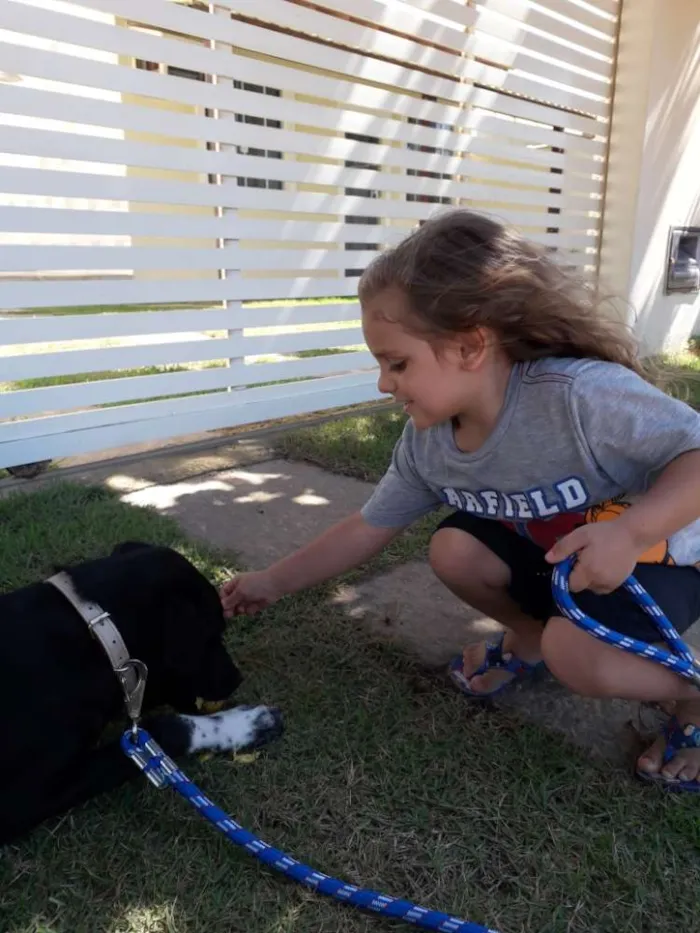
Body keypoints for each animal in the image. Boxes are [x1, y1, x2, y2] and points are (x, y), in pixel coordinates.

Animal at [3, 540, 282, 844]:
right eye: (212, 633)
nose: (236, 678)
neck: (97, 638)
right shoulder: (22, 799)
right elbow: (169, 729)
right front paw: (245, 724)